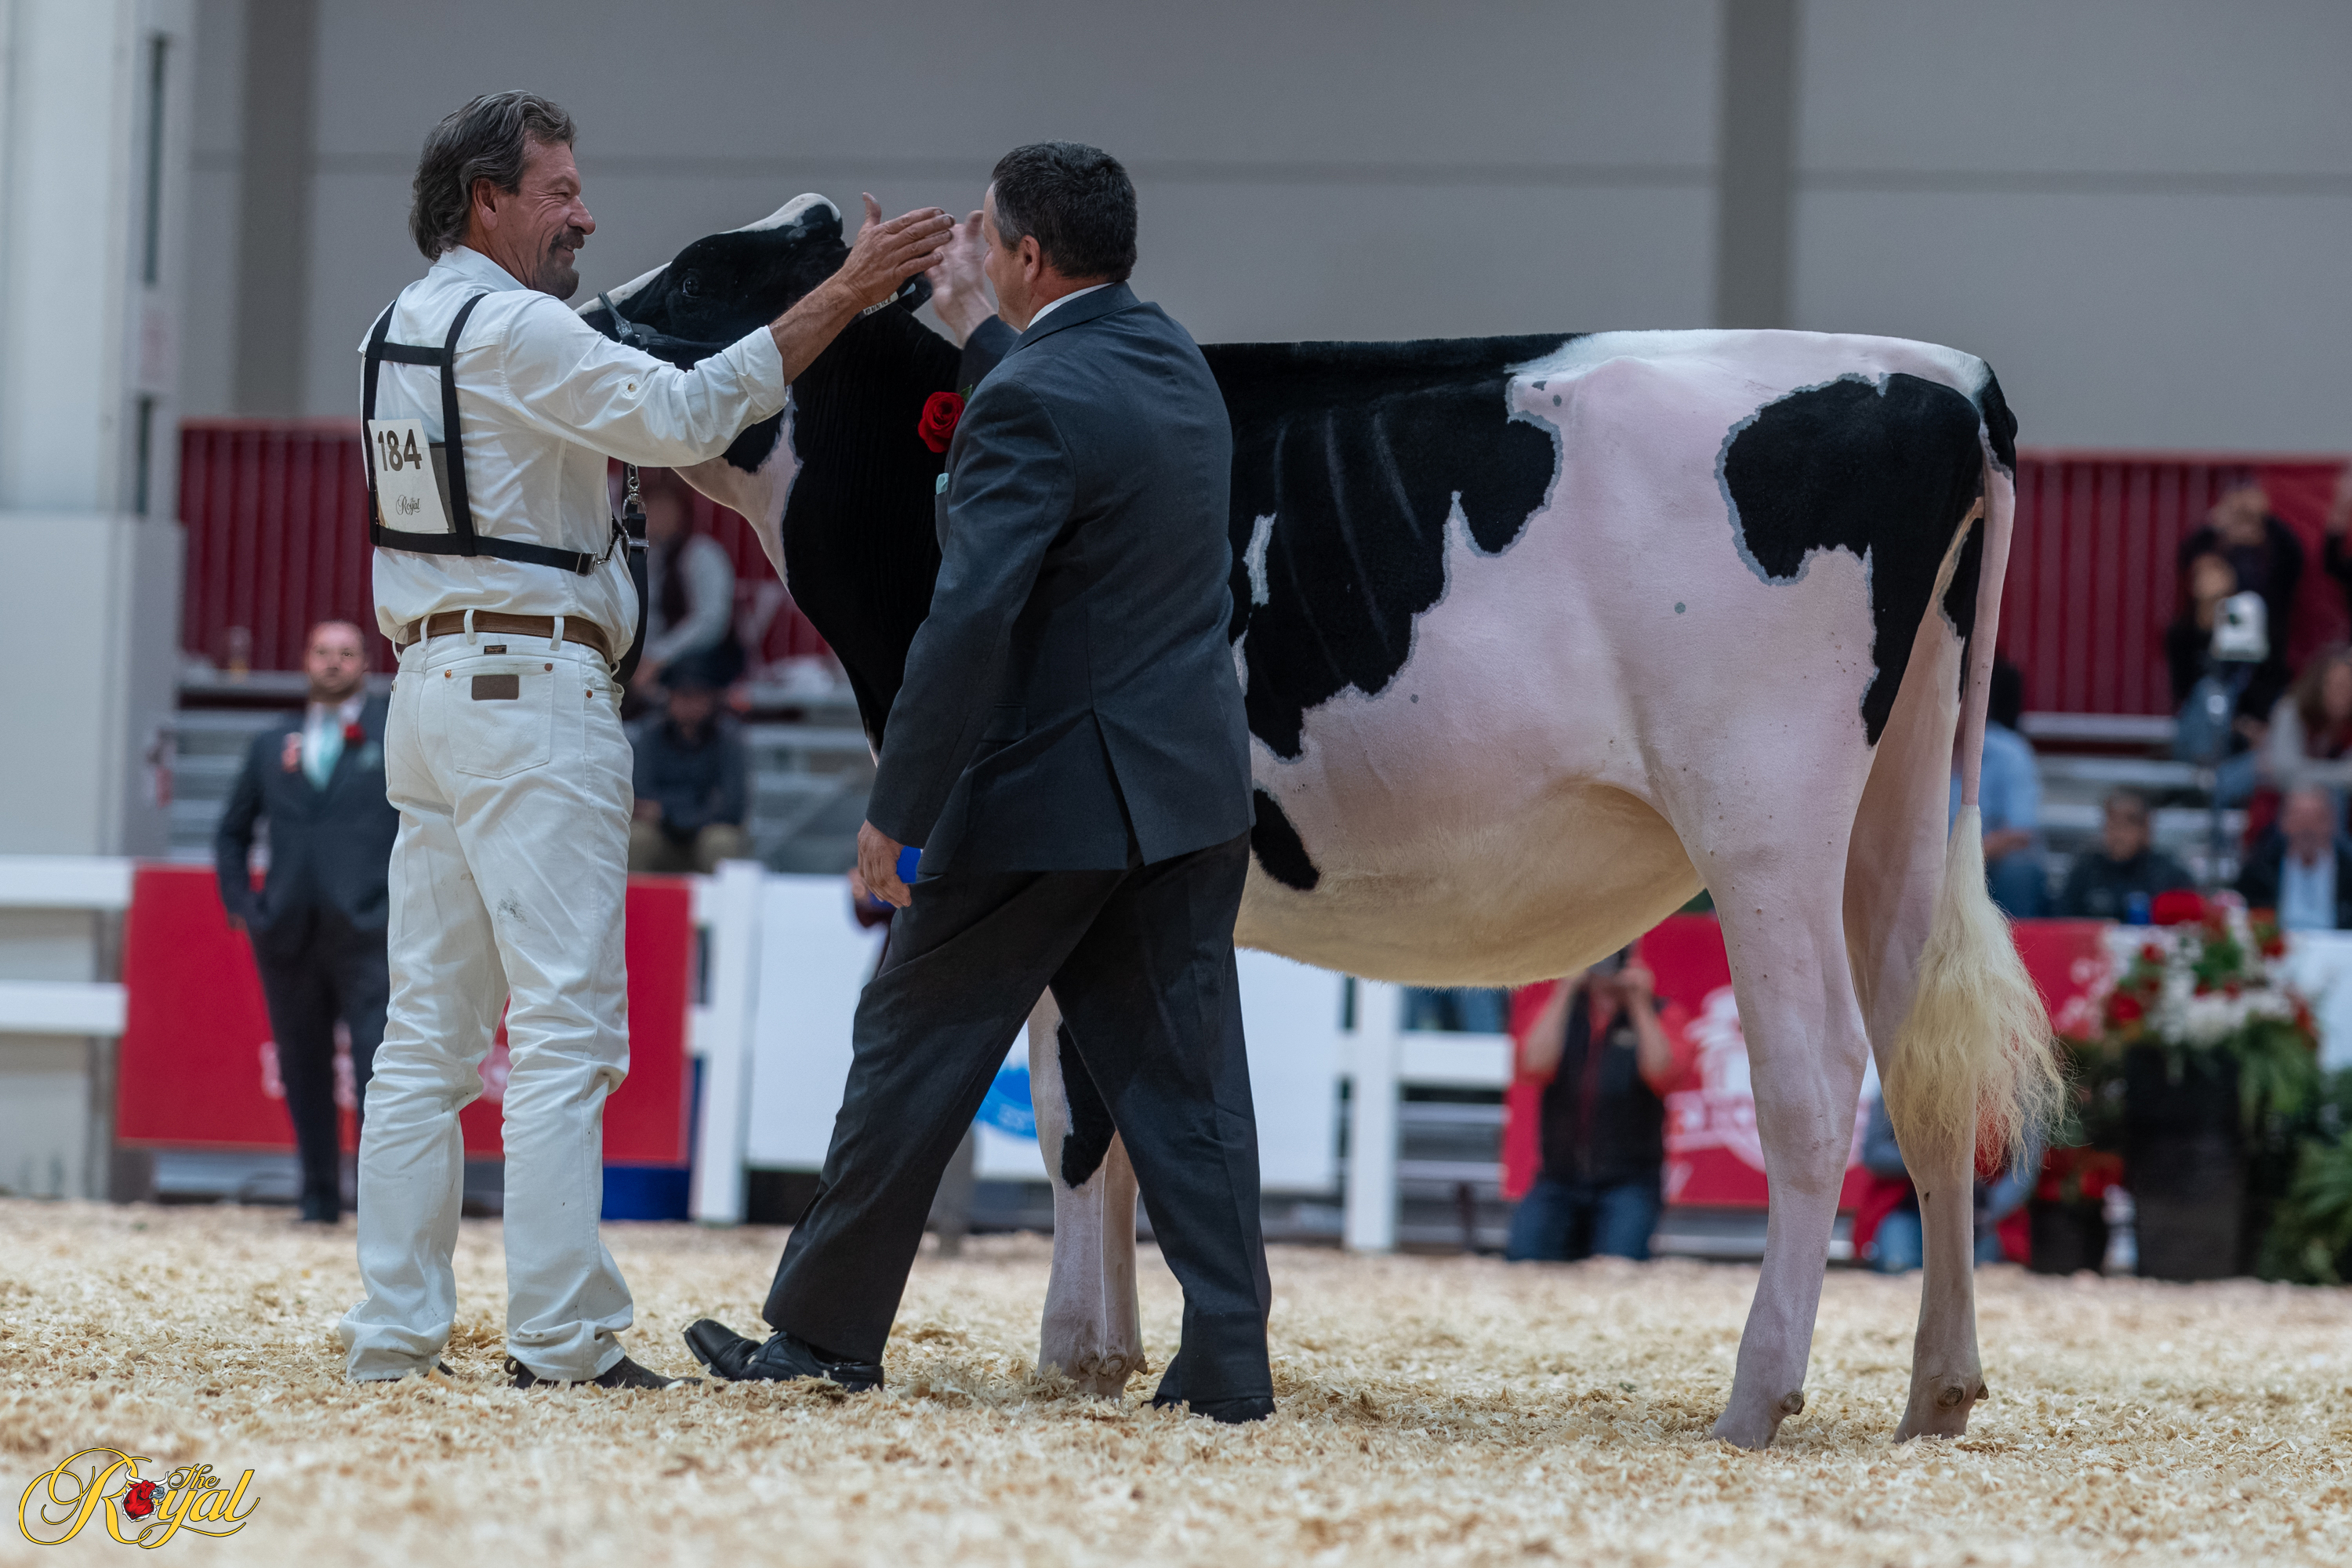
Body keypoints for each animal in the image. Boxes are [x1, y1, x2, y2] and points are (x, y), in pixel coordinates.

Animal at [582, 196, 2059, 1449]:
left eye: (705, 278)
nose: (583, 322)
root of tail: (1943, 375)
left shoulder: (1011, 829)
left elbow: (1069, 1113)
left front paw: (1073, 1348)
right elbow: (1126, 1109)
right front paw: (1121, 1350)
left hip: (1761, 822)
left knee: (1816, 1082)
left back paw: (1757, 1398)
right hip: (1899, 809)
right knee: (1927, 1078)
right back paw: (1938, 1393)